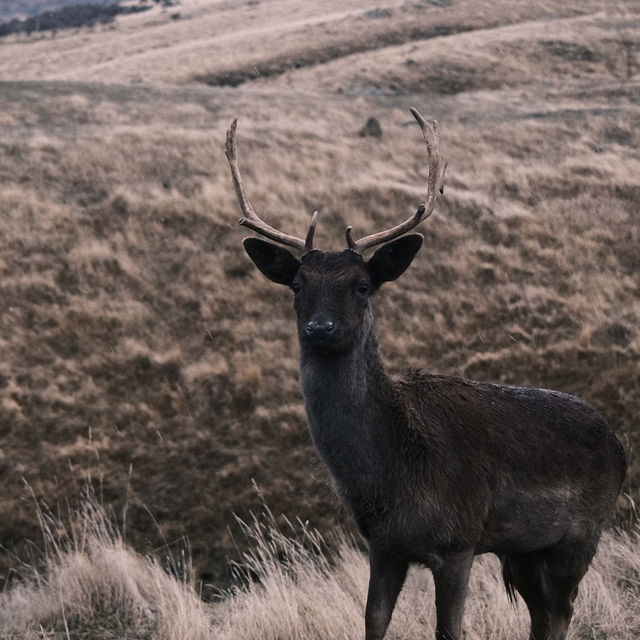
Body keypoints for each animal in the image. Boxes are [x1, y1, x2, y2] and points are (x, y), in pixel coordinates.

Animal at [224, 110, 624, 640]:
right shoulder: (383, 545)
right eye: (296, 284)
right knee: (543, 615)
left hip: (581, 533)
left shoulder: (458, 540)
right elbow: (373, 621)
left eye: (363, 285)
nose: (320, 327)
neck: (392, 478)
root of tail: (619, 444)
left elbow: (448, 629)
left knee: (561, 612)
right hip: (523, 548)